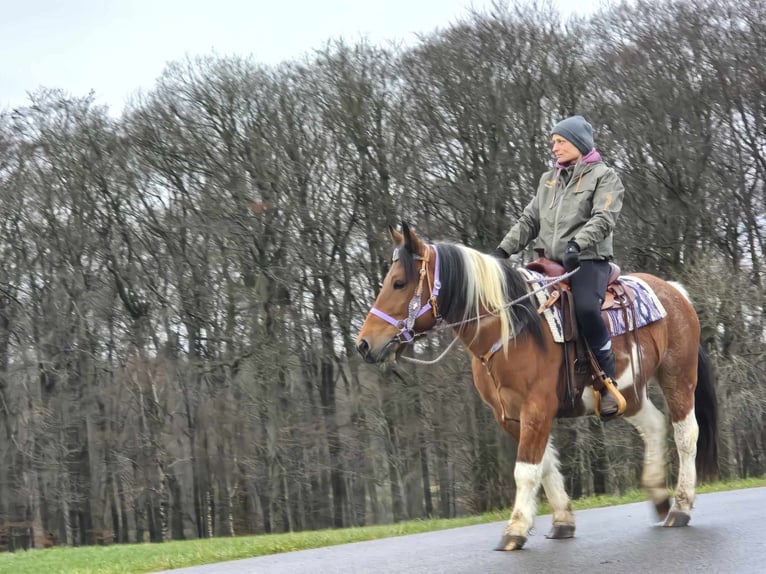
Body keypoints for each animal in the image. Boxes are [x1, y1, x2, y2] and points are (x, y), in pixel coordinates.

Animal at [356, 223, 720, 552]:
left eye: (399, 283)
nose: (363, 344)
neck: (510, 329)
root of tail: (674, 291)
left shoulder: (537, 407)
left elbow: (526, 471)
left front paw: (515, 529)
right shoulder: (510, 415)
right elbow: (543, 465)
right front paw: (562, 521)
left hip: (678, 376)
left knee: (685, 434)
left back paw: (680, 506)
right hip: (629, 393)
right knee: (655, 426)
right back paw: (659, 497)